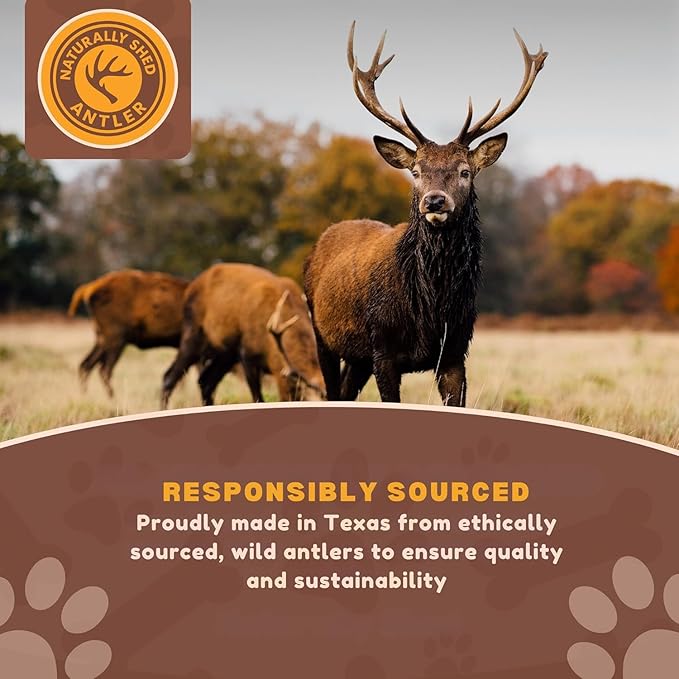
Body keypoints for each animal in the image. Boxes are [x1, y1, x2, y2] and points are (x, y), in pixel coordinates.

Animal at [304, 23, 547, 405]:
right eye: (416, 171)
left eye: (465, 171)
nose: (434, 201)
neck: (431, 311)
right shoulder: (383, 349)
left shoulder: (455, 352)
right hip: (321, 334)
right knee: (331, 390)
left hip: (357, 356)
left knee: (344, 391)